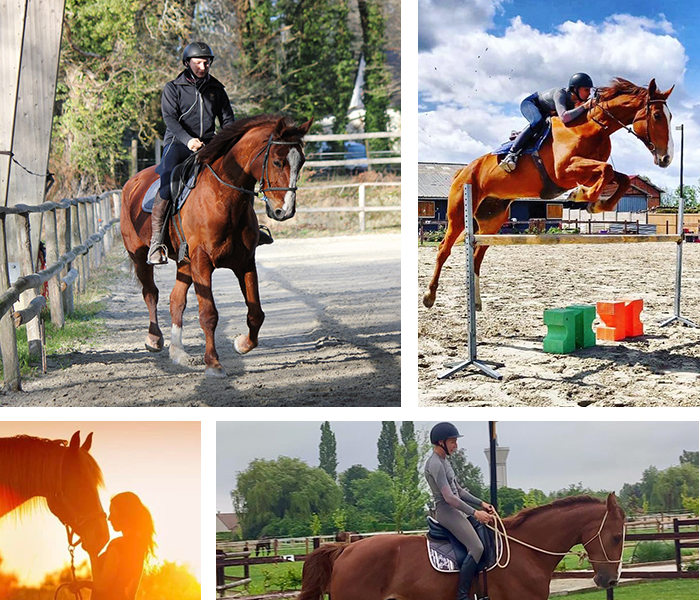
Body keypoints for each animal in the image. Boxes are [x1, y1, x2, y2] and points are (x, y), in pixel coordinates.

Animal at [121, 114, 313, 377]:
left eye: (300, 162)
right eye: (277, 161)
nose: (285, 211)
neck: (223, 196)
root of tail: (132, 182)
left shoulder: (245, 263)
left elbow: (256, 313)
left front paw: (242, 344)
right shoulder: (202, 262)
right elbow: (208, 315)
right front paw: (213, 363)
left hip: (185, 262)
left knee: (176, 300)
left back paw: (178, 352)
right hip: (141, 256)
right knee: (151, 293)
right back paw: (154, 339)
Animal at [423, 78, 674, 311]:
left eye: (669, 117)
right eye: (657, 116)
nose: (666, 159)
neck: (592, 127)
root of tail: (462, 171)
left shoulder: (587, 171)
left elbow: (620, 178)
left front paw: (595, 204)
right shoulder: (564, 172)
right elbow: (607, 170)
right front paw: (580, 196)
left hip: (492, 221)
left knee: (476, 255)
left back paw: (476, 302)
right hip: (459, 214)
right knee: (443, 249)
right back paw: (429, 296)